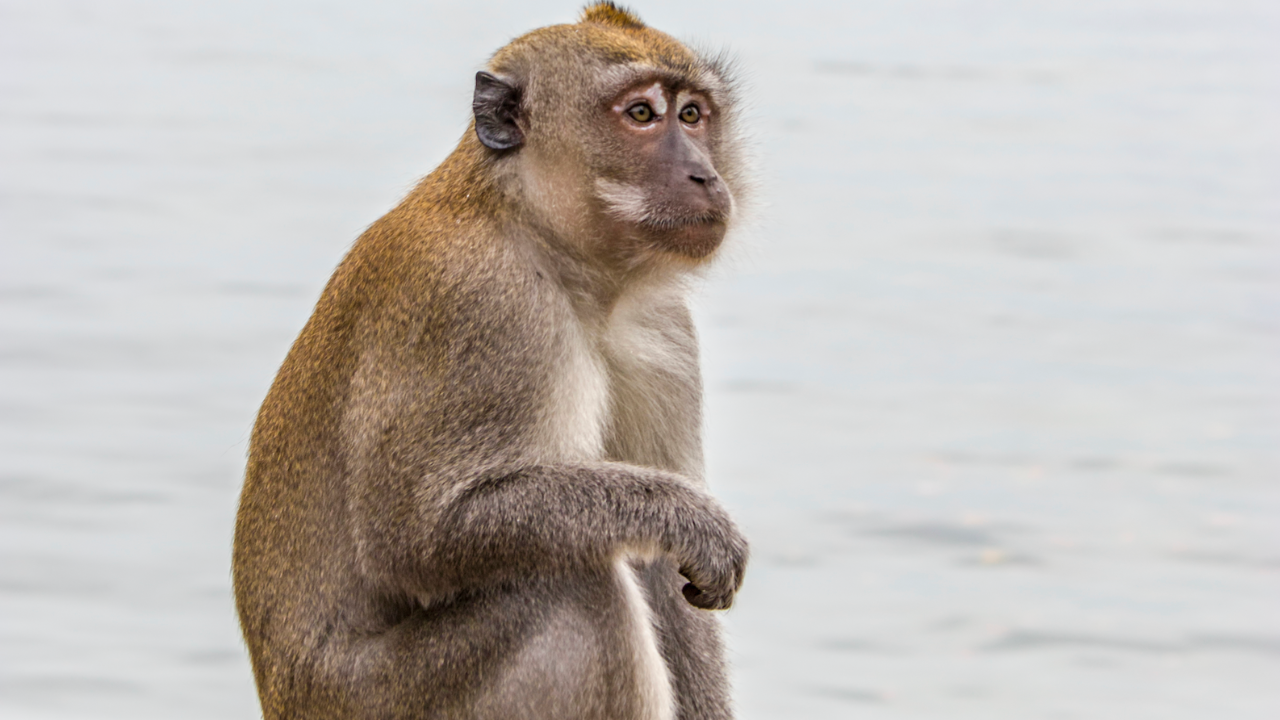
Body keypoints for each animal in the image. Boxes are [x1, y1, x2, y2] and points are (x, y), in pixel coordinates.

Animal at [234, 5, 747, 717]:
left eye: (693, 114)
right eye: (642, 114)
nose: (706, 176)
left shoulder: (664, 331)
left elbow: (664, 575)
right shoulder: (480, 304)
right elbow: (417, 536)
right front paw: (689, 519)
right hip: (393, 695)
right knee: (574, 588)